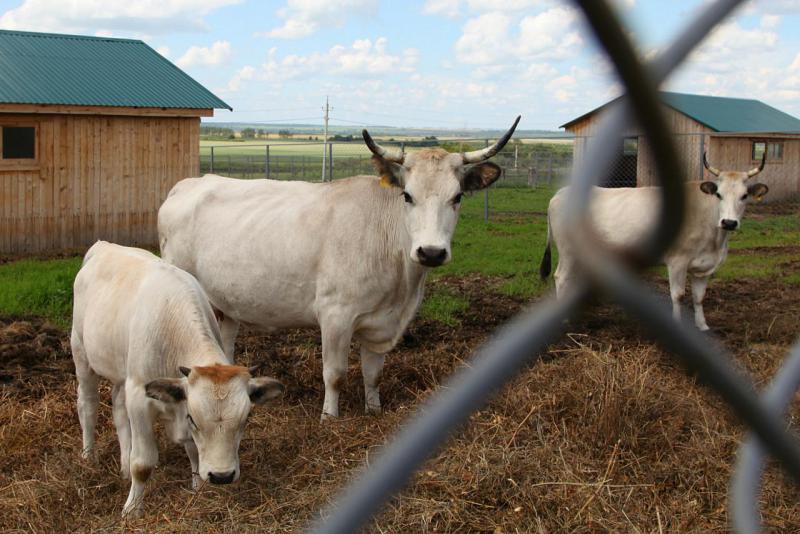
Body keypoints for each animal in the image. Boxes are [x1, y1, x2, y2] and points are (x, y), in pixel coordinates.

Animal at [72, 244, 284, 520]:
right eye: (194, 419)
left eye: (246, 419)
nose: (222, 476)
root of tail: (102, 245)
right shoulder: (139, 397)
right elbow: (143, 463)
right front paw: (132, 510)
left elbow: (192, 449)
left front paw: (198, 488)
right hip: (80, 351)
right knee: (88, 405)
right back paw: (89, 457)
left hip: (120, 370)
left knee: (118, 407)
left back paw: (123, 465)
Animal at [159, 116, 520, 418]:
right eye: (407, 195)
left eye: (457, 197)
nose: (430, 252)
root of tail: (186, 184)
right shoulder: (335, 314)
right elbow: (334, 374)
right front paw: (329, 417)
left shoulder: (382, 323)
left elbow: (373, 373)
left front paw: (373, 410)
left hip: (225, 303)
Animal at [540, 153, 764, 332]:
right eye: (718, 194)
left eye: (744, 196)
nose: (729, 222)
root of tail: (559, 193)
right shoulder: (677, 261)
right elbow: (678, 295)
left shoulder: (704, 266)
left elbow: (699, 297)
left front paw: (703, 326)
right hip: (567, 250)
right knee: (561, 277)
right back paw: (564, 320)